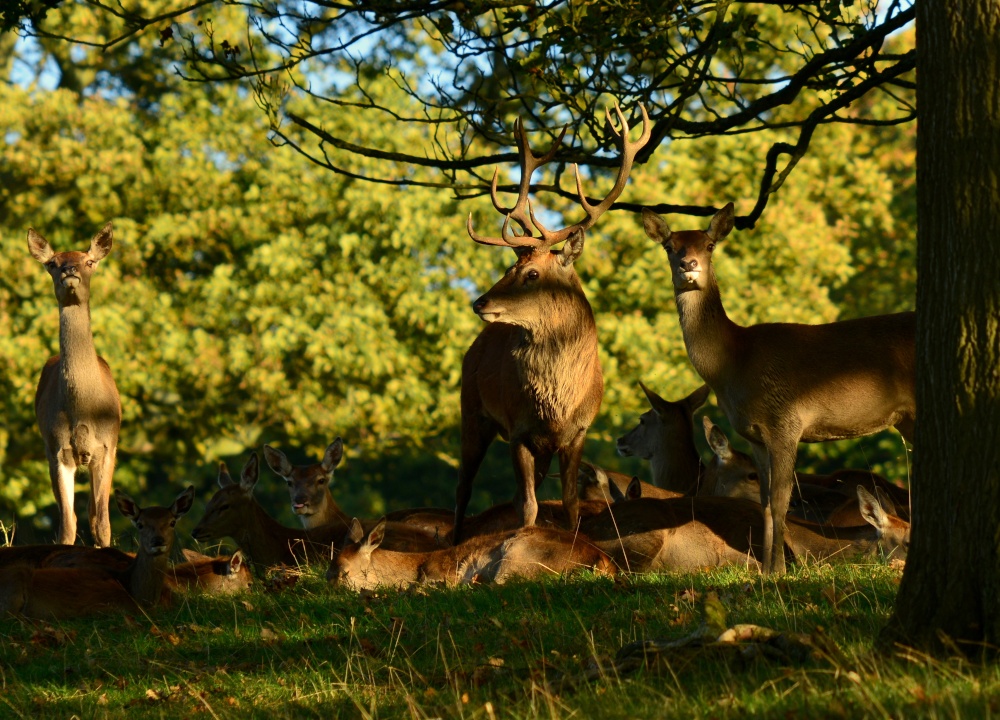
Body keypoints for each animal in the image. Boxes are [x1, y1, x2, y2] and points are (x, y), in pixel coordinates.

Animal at [28, 223, 122, 547]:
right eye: (51, 263)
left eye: (89, 261)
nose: (70, 270)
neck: (84, 409)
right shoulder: (57, 449)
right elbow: (67, 527)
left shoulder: (107, 447)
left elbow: (103, 525)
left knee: (95, 515)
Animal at [455, 104, 651, 542]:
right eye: (510, 267)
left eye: (531, 274)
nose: (480, 302)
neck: (557, 403)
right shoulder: (518, 430)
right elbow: (528, 506)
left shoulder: (577, 432)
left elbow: (571, 504)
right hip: (471, 410)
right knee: (463, 489)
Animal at [642, 203, 916, 573]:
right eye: (669, 246)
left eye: (710, 245)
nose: (689, 265)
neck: (735, 362)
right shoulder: (755, 435)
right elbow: (766, 503)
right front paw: (768, 569)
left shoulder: (786, 421)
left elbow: (782, 500)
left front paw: (780, 570)